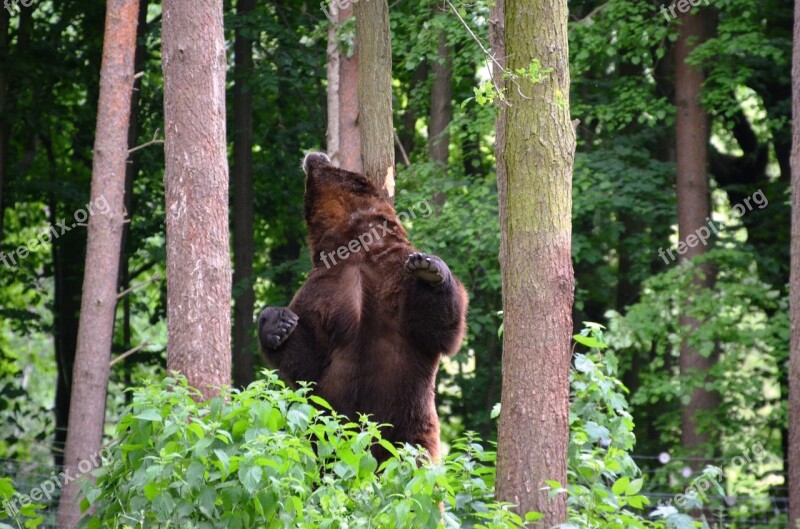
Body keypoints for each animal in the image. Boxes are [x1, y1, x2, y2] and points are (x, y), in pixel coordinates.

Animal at [256, 151, 468, 460]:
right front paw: (278, 323)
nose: (313, 154)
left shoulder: (397, 275)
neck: (358, 246)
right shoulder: (324, 289)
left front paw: (430, 268)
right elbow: (308, 356)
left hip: (409, 421)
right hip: (324, 428)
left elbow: (439, 329)